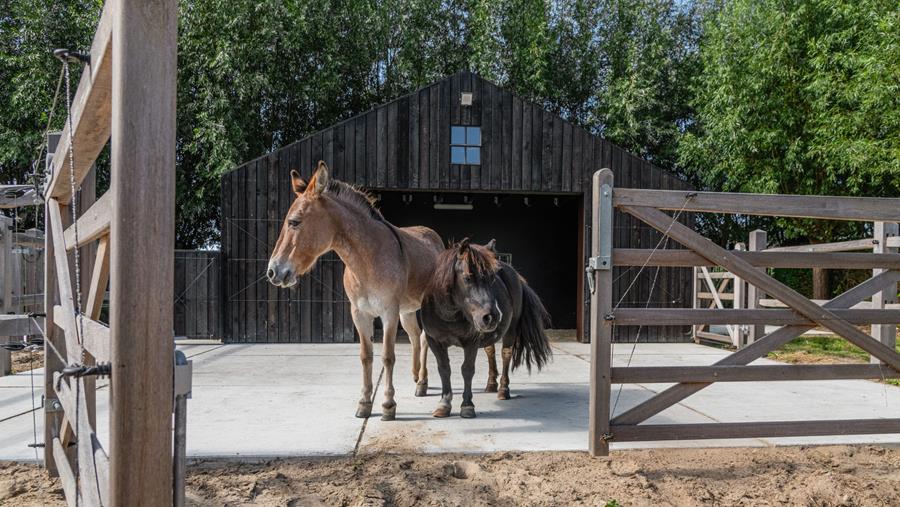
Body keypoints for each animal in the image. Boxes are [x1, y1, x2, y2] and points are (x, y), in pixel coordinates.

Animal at [418, 240, 552, 418]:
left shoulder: (471, 342)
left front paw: (467, 406)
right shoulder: (435, 341)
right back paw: (491, 384)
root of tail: (515, 274)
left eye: (493, 278)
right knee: (490, 351)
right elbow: (444, 369)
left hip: (510, 331)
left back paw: (503, 390)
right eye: (467, 278)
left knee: (506, 354)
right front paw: (444, 404)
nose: (492, 316)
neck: (449, 315)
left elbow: (467, 370)